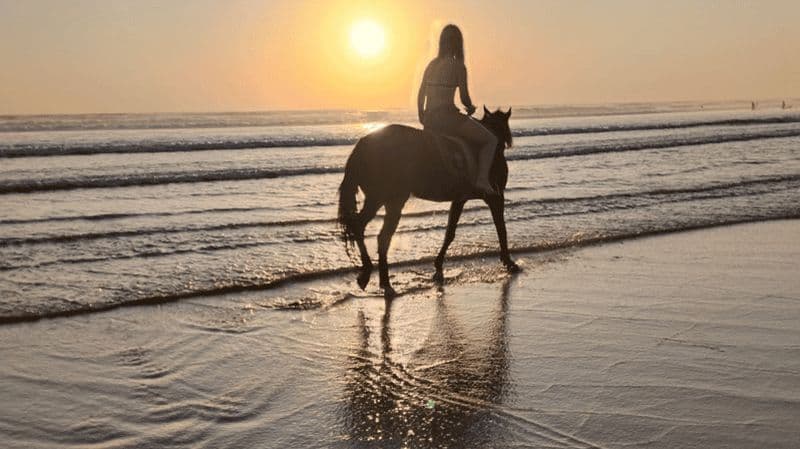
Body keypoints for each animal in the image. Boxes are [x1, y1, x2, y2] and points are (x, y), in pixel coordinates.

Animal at [337, 106, 519, 298]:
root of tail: (363, 145)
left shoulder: (459, 200)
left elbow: (450, 233)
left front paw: (438, 267)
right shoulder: (495, 198)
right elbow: (501, 229)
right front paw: (509, 262)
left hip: (379, 199)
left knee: (361, 227)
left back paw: (368, 275)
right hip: (389, 200)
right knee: (379, 235)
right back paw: (383, 283)